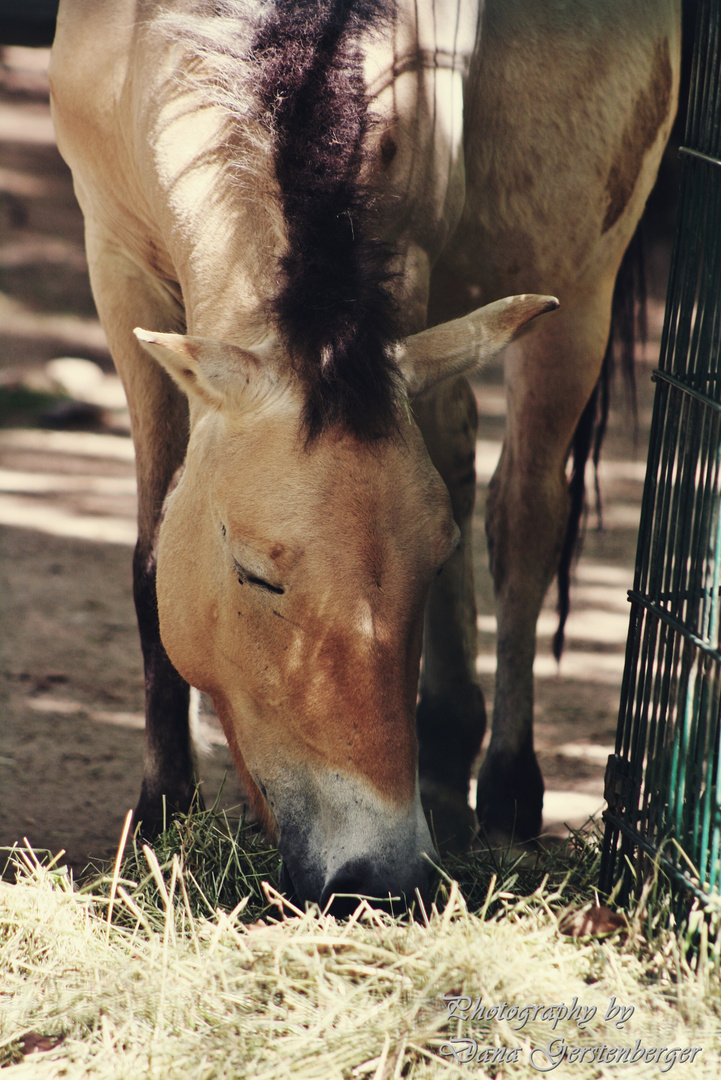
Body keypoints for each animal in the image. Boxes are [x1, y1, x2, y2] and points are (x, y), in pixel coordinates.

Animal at [47, 0, 677, 907]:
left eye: (429, 562)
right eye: (254, 574)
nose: (377, 874)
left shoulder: (408, 257)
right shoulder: (117, 260)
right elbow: (147, 557)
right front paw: (163, 809)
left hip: (579, 285)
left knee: (523, 518)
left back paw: (502, 789)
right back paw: (447, 750)